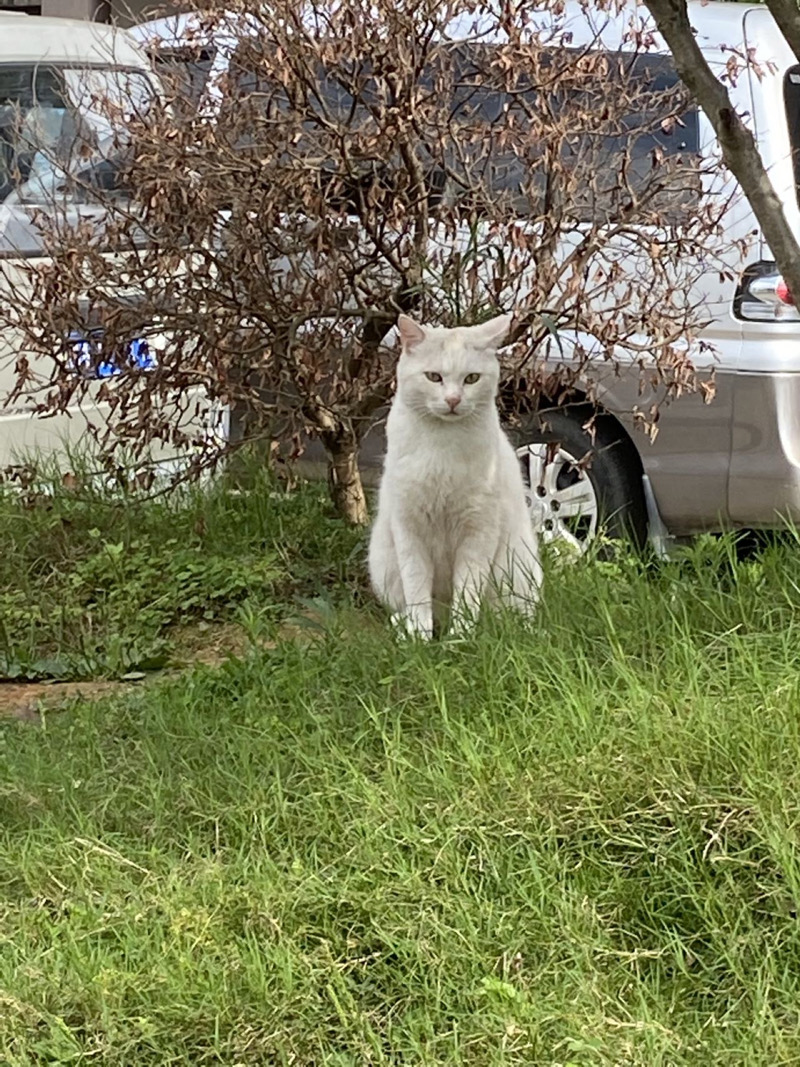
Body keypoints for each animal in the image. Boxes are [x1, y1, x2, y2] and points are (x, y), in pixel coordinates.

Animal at [371, 311, 546, 635]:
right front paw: (419, 634)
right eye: (434, 377)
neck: (442, 445)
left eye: (471, 378)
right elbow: (416, 587)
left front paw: (460, 637)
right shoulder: (409, 529)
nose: (453, 400)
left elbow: (467, 590)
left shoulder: (478, 531)